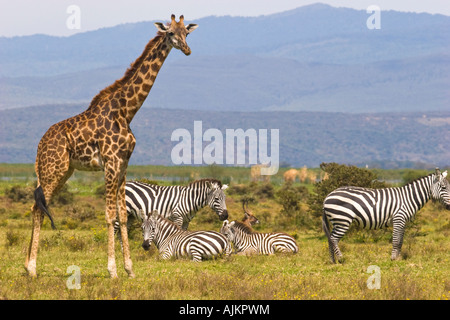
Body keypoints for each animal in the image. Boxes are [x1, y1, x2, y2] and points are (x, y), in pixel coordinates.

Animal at [25, 15, 199, 278]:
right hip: (53, 171)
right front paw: (113, 270)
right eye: (170, 33)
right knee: (37, 209)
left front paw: (130, 269)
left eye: (186, 33)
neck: (126, 111)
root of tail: (39, 145)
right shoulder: (110, 163)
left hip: (63, 172)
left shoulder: (124, 164)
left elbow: (124, 216)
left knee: (39, 207)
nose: (187, 50)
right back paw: (32, 269)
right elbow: (109, 215)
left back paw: (28, 266)